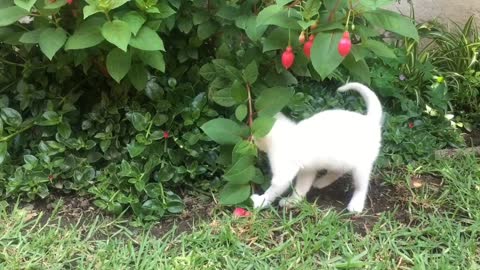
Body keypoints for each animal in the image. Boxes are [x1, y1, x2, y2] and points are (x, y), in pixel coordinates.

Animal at [251, 82, 382, 213]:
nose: (254, 141)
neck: (287, 134)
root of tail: (370, 120)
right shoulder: (307, 170)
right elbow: (301, 187)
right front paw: (293, 201)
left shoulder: (284, 172)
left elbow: (274, 189)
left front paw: (261, 201)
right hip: (339, 161)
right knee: (338, 171)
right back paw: (322, 182)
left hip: (361, 167)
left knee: (362, 186)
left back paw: (356, 204)